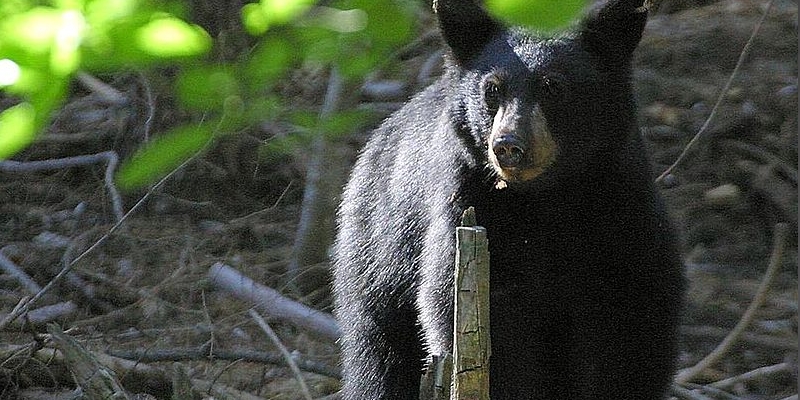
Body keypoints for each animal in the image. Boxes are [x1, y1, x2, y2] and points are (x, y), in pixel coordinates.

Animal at [331, 0, 685, 399]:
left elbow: (634, 324)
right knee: (378, 357)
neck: (548, 197)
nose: (508, 146)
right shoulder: (471, 207)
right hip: (378, 255)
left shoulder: (622, 210)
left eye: (553, 86)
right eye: (492, 90)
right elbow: (479, 317)